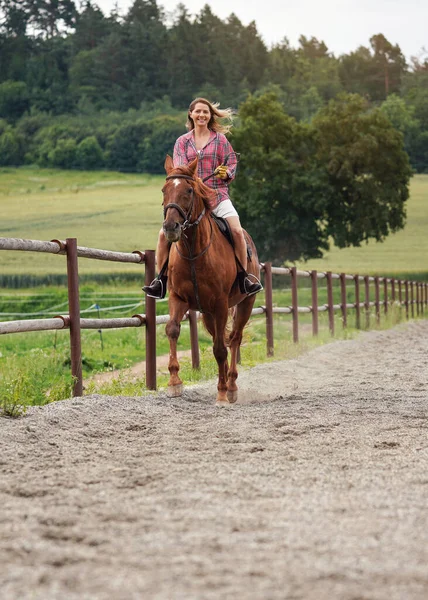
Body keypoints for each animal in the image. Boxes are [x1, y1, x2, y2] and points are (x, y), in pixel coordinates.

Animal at [161, 152, 260, 406]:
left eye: (189, 190)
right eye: (164, 190)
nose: (171, 227)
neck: (194, 253)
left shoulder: (221, 304)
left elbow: (220, 349)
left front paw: (222, 393)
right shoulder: (178, 298)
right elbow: (172, 329)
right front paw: (174, 383)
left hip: (245, 303)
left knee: (234, 339)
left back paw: (231, 386)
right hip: (207, 313)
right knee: (222, 339)